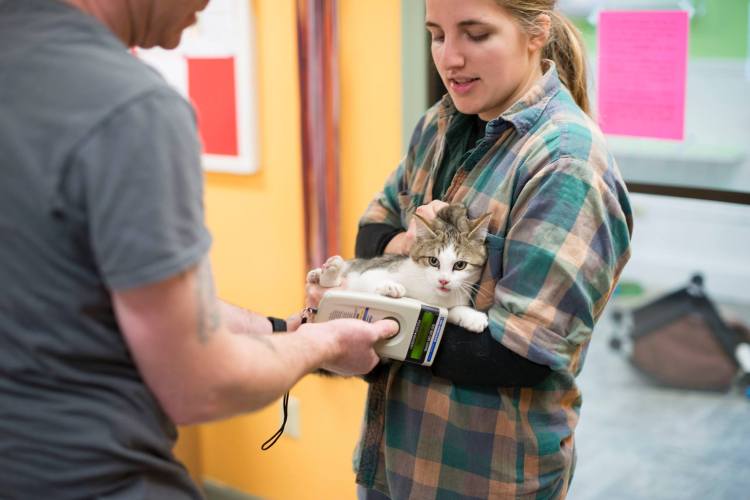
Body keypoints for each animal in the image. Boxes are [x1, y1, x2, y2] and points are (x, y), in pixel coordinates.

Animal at [306, 203, 490, 332]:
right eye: (433, 261)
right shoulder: (375, 271)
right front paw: (390, 287)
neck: (430, 292)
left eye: (460, 265)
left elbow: (449, 311)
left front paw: (472, 317)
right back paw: (326, 271)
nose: (443, 281)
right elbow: (367, 282)